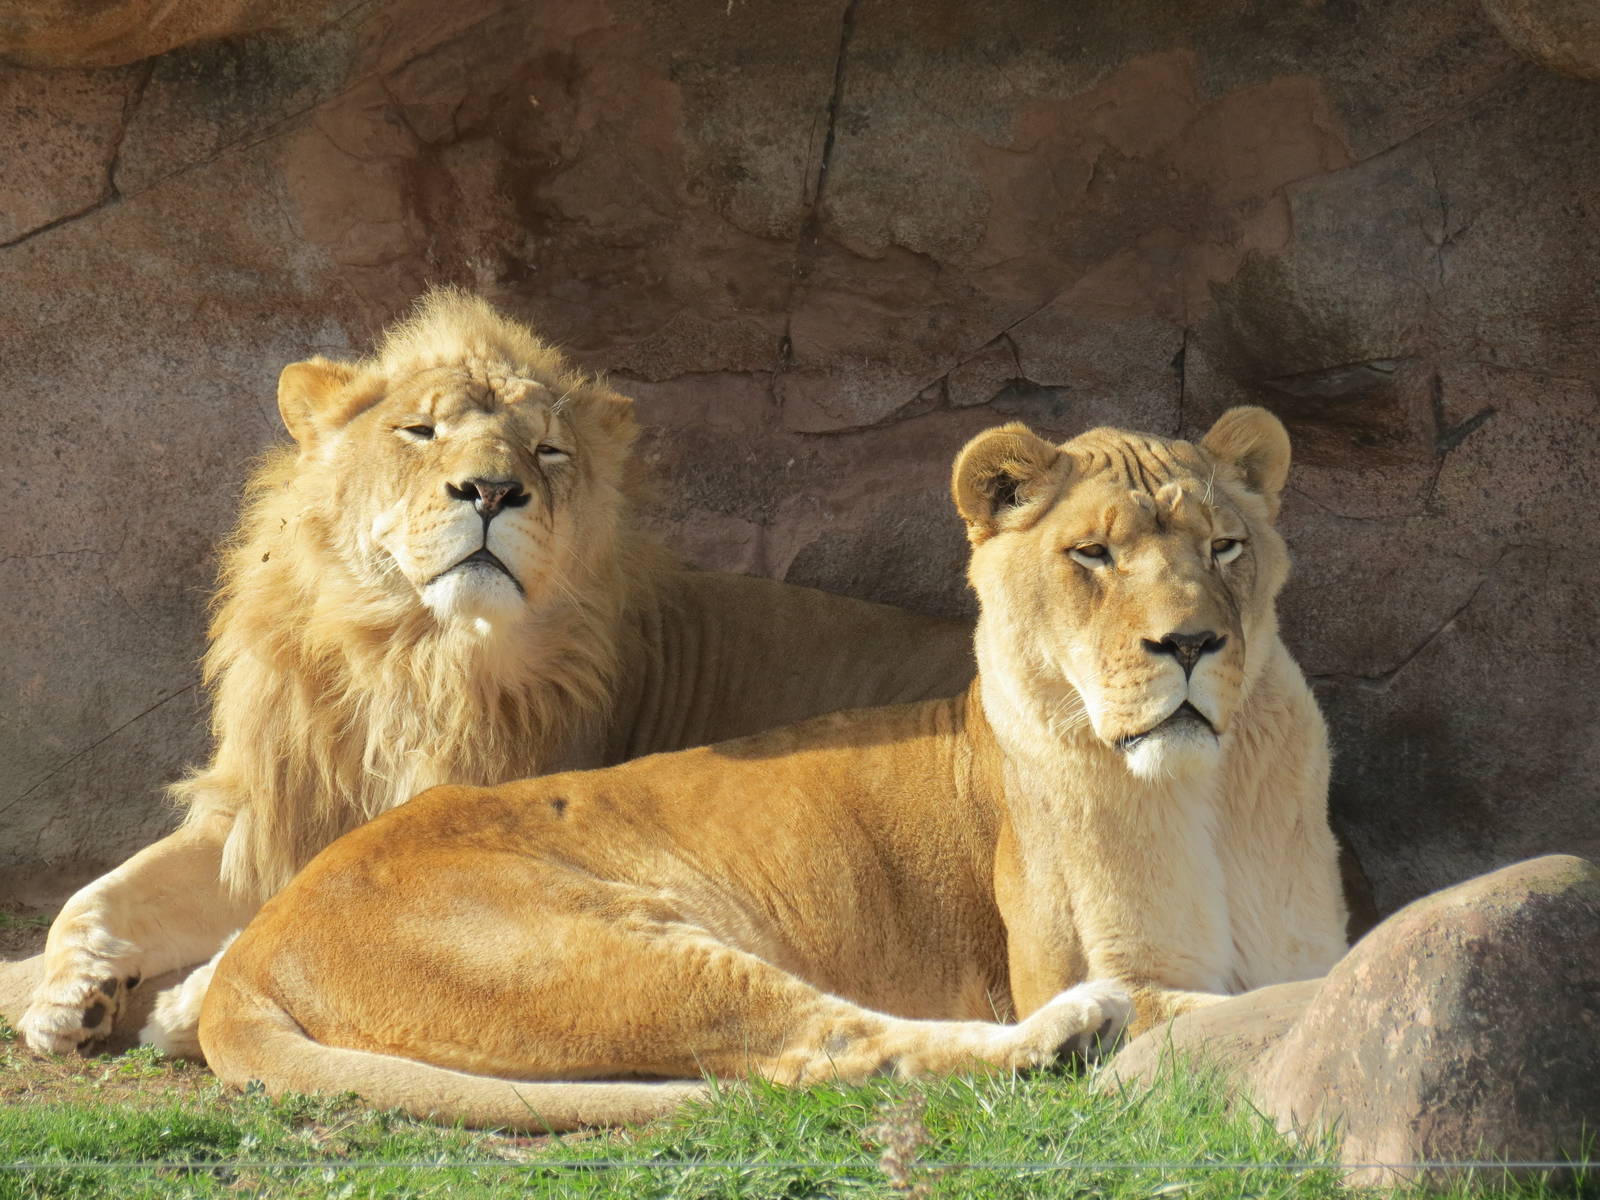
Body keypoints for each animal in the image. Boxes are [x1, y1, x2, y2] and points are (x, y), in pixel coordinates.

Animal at [14, 290, 973, 1057]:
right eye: (420, 431)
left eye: (547, 451)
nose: (490, 491)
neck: (409, 660)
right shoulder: (273, 813)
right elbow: (97, 895)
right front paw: (70, 996)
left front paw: (165, 1001)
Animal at [197, 406, 1348, 1130]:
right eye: (1093, 555)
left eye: (1226, 547)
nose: (1191, 643)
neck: (1209, 794)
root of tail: (258, 936)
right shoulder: (1102, 961)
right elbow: (1251, 1004)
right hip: (598, 945)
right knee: (830, 1050)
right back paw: (1065, 1036)